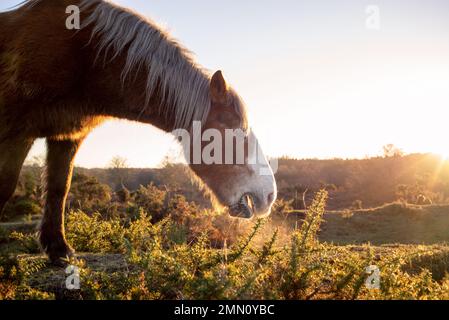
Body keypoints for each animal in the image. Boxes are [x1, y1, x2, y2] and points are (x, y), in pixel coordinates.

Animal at [0, 0, 276, 264]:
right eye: (236, 130)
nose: (269, 196)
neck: (85, 55)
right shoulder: (19, 133)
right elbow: (7, 185)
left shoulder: (67, 137)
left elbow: (59, 189)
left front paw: (59, 249)